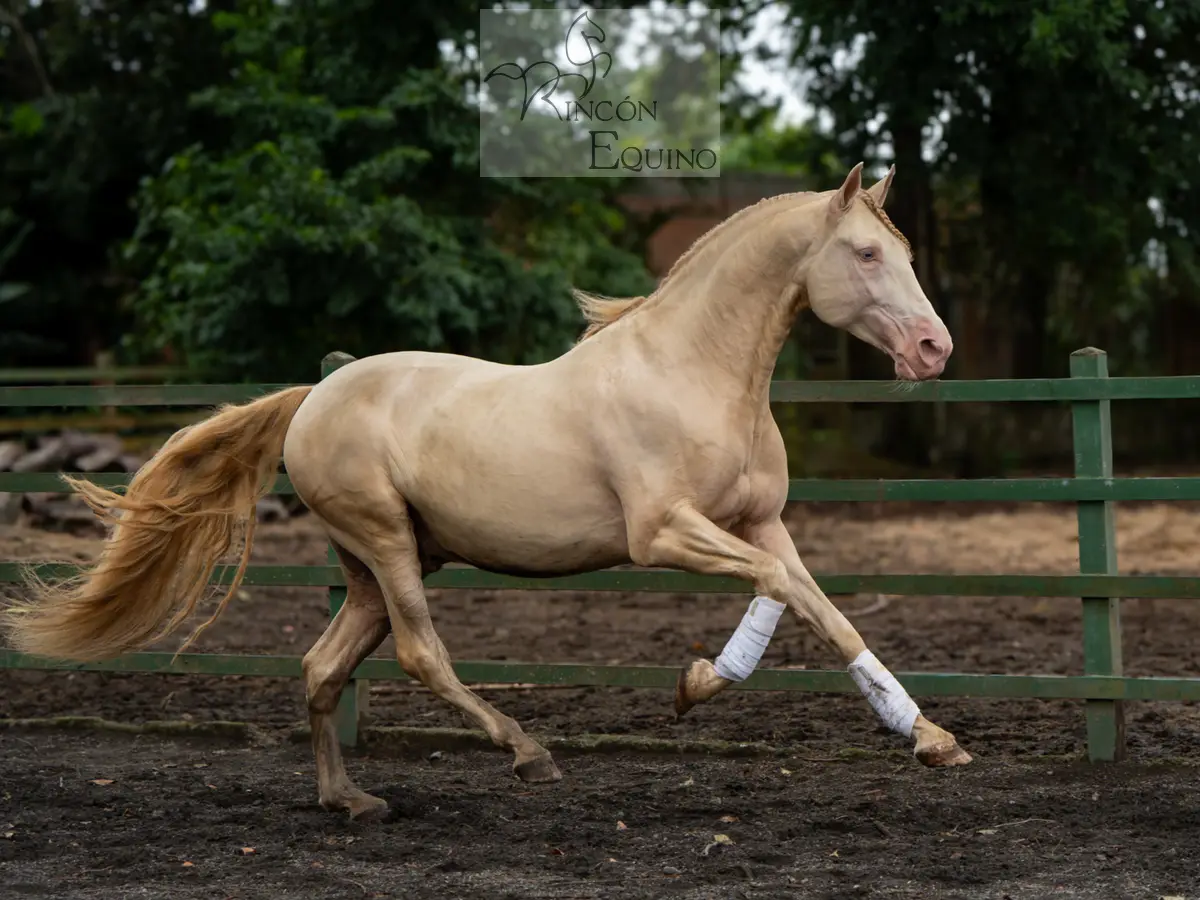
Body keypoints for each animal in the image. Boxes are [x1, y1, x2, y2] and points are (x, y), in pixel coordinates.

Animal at [4, 162, 969, 822]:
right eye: (866, 253)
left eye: (903, 251)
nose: (935, 350)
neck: (692, 373)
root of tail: (312, 396)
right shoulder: (664, 532)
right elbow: (777, 594)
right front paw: (695, 685)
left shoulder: (762, 523)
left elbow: (824, 610)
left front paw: (931, 739)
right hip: (387, 543)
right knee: (418, 654)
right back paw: (528, 754)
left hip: (375, 563)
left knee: (322, 667)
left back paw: (350, 802)